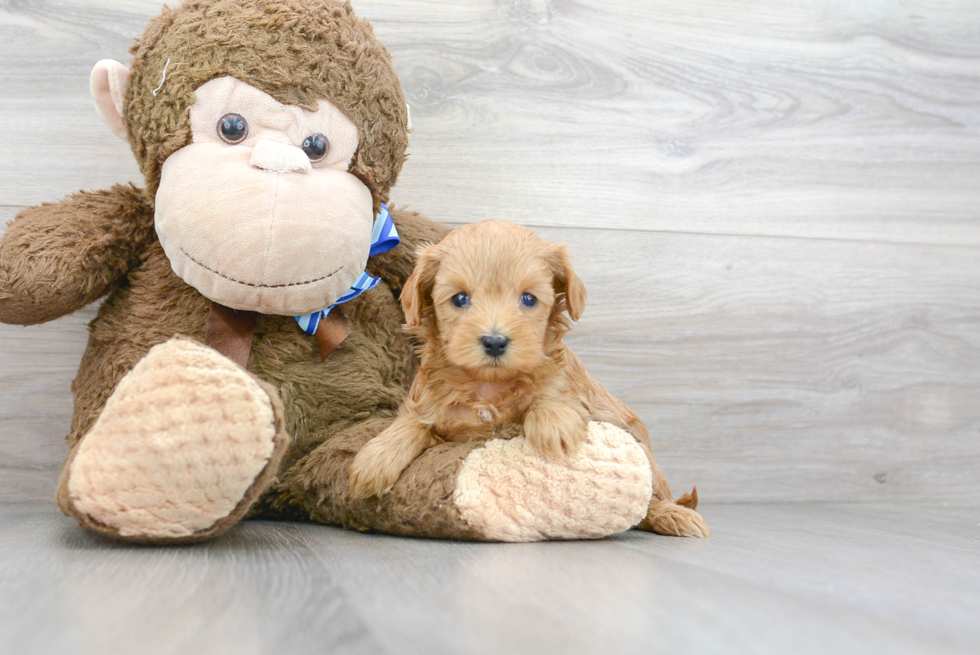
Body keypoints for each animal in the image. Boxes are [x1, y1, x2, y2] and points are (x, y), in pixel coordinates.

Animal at [348, 220, 708, 540]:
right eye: (460, 299)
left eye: (529, 299)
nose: (495, 342)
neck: (488, 386)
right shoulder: (432, 406)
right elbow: (413, 422)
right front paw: (374, 459)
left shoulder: (571, 389)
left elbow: (552, 393)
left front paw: (553, 424)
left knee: (653, 500)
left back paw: (674, 515)